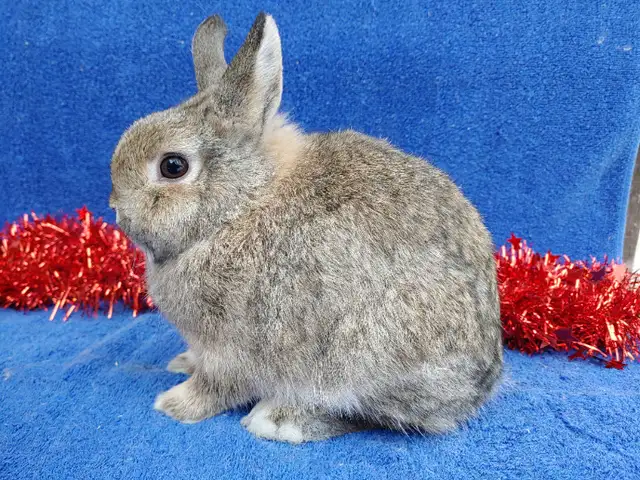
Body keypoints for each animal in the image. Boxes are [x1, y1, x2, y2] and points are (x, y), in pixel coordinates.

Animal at [109, 12, 503, 443]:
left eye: (173, 166)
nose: (115, 208)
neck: (239, 207)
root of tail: (479, 386)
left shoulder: (231, 350)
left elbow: (216, 387)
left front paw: (173, 404)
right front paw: (181, 362)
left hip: (362, 357)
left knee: (368, 414)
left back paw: (279, 420)